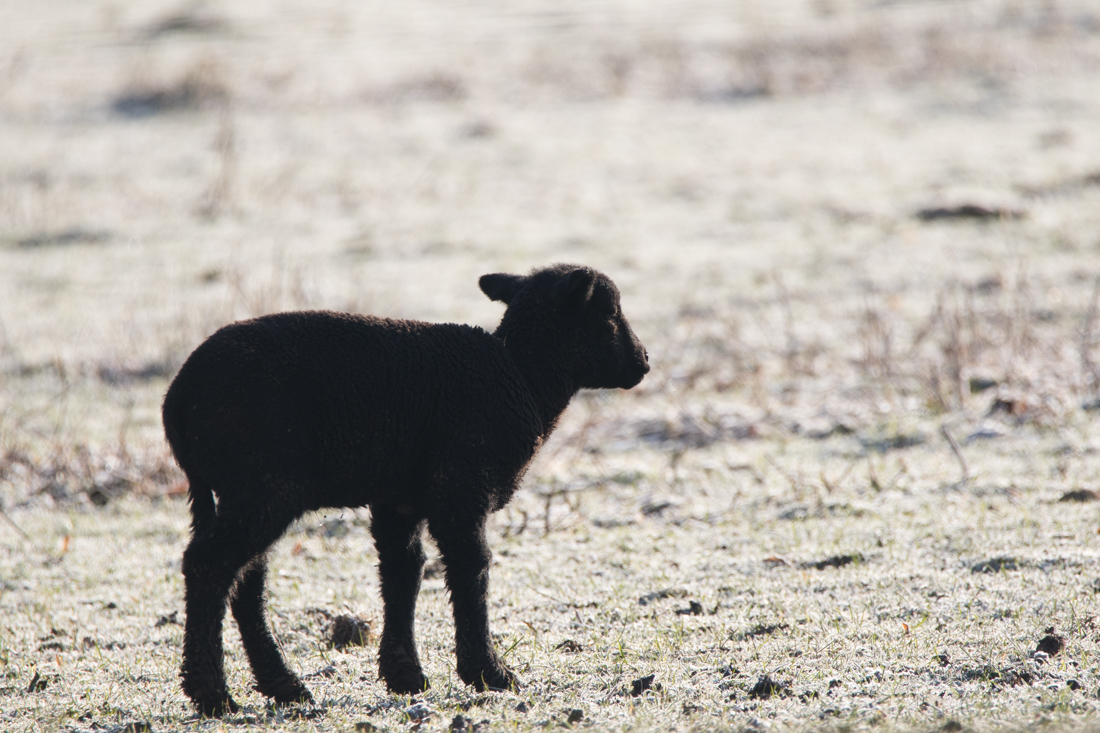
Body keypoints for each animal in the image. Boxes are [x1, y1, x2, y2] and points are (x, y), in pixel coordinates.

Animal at [160, 263, 642, 713]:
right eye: (609, 312)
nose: (643, 362)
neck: (523, 376)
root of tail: (177, 401)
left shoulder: (399, 499)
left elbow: (401, 572)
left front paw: (404, 675)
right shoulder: (461, 484)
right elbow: (471, 567)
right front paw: (489, 673)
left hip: (242, 491)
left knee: (244, 581)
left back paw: (284, 686)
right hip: (263, 486)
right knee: (209, 566)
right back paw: (211, 693)